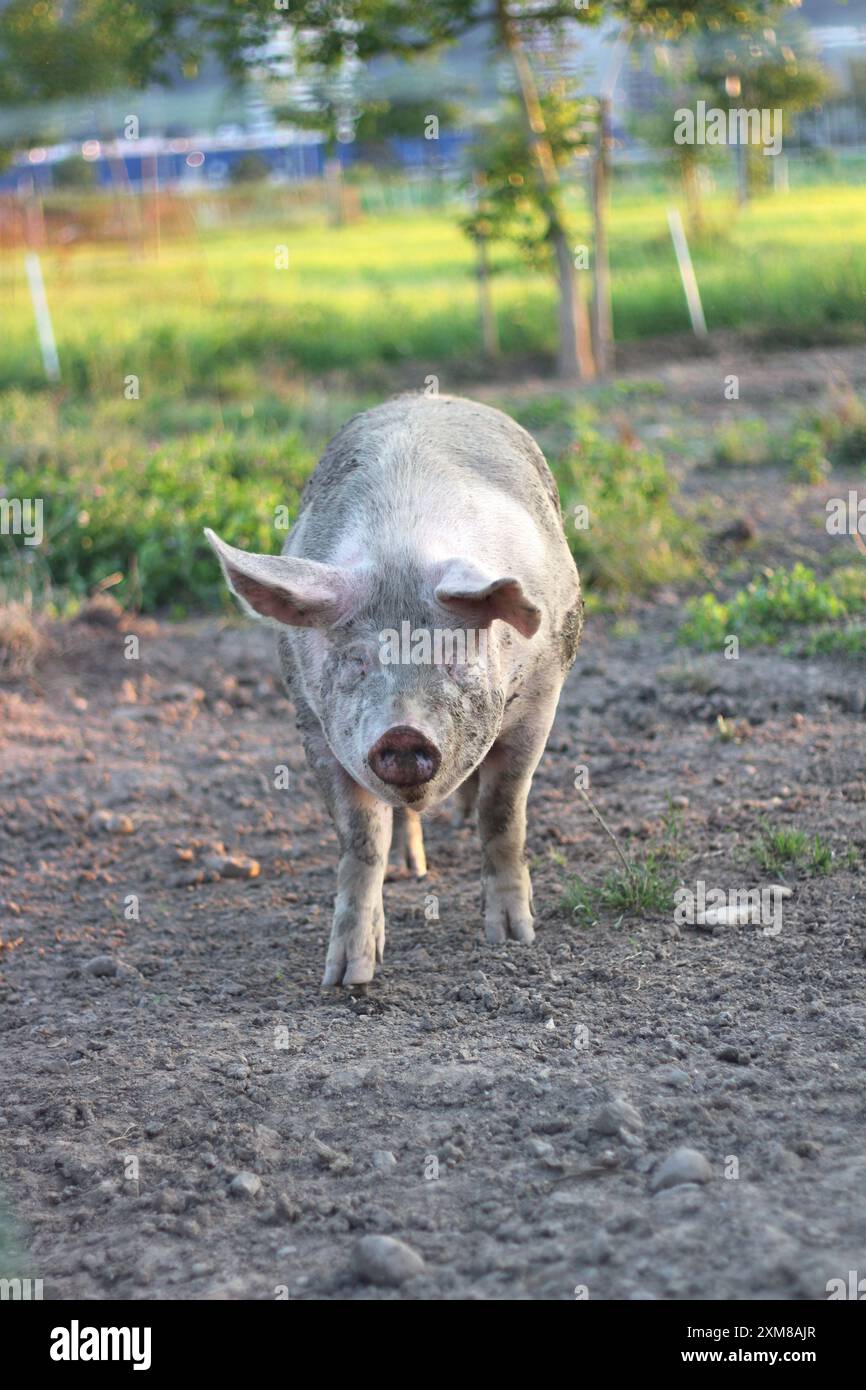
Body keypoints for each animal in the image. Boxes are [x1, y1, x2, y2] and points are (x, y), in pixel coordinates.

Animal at [205, 394, 582, 986]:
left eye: (453, 657)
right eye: (357, 660)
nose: (403, 734)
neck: (402, 550)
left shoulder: (541, 702)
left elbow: (502, 814)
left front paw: (513, 938)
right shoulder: (313, 725)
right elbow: (361, 840)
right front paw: (346, 978)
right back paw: (413, 871)